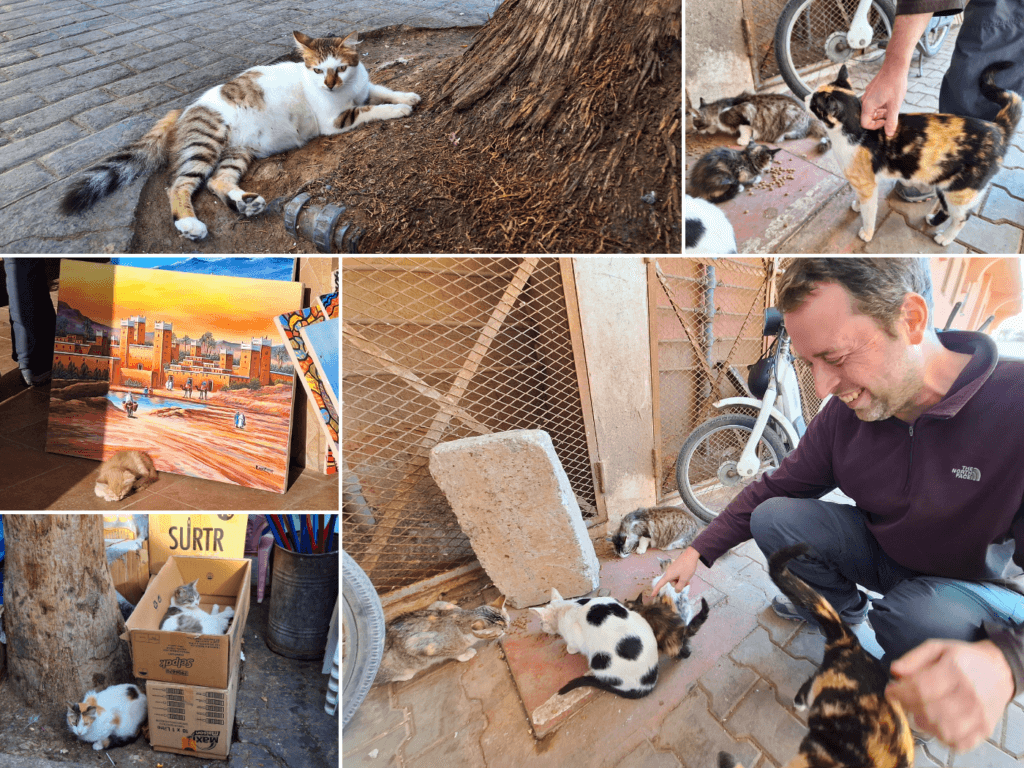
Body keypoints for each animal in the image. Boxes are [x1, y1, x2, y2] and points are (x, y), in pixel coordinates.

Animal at [58, 30, 419, 240]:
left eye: (340, 68)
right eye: (317, 70)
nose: (329, 84)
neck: (347, 89)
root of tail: (183, 109)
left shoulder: (364, 87)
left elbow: (382, 90)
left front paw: (407, 96)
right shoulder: (335, 120)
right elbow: (368, 110)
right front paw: (398, 110)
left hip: (237, 151)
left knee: (218, 181)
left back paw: (245, 203)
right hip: (207, 141)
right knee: (179, 184)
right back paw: (189, 224)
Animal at [372, 602, 507, 684]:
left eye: (507, 624)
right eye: (500, 631)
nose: (506, 631)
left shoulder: (437, 606)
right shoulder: (418, 644)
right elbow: (453, 652)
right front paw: (465, 653)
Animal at [684, 92, 827, 149]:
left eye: (695, 124)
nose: (696, 131)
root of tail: (809, 118)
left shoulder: (745, 113)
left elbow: (745, 129)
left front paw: (743, 140)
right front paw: (712, 130)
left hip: (788, 115)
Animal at [802, 61, 1019, 244]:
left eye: (814, 103)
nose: (804, 97)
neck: (854, 130)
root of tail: (997, 128)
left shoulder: (867, 183)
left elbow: (869, 211)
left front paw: (867, 232)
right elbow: (861, 200)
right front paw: (857, 204)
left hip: (961, 190)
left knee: (962, 217)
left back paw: (945, 238)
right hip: (943, 182)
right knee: (947, 209)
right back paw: (933, 221)